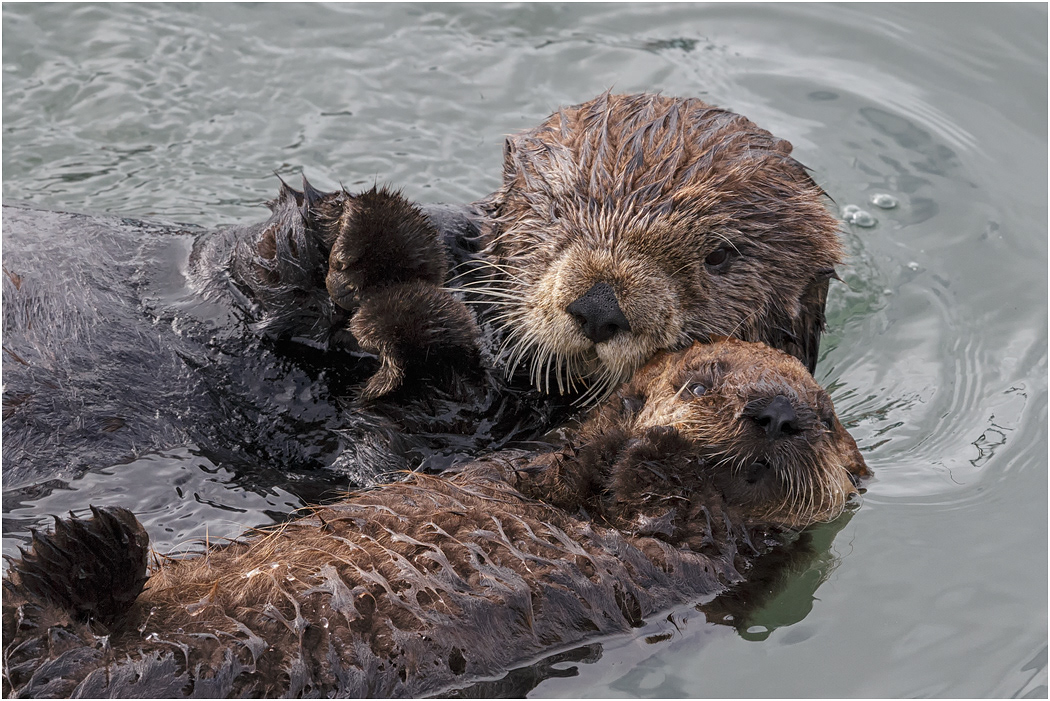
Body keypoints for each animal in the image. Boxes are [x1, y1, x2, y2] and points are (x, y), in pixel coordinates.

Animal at [2, 339, 869, 698]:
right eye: (701, 382)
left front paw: (664, 450)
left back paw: (89, 546)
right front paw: (646, 426)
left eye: (824, 415)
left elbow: (679, 510)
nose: (777, 413)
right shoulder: (538, 470)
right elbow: (585, 457)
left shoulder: (720, 558)